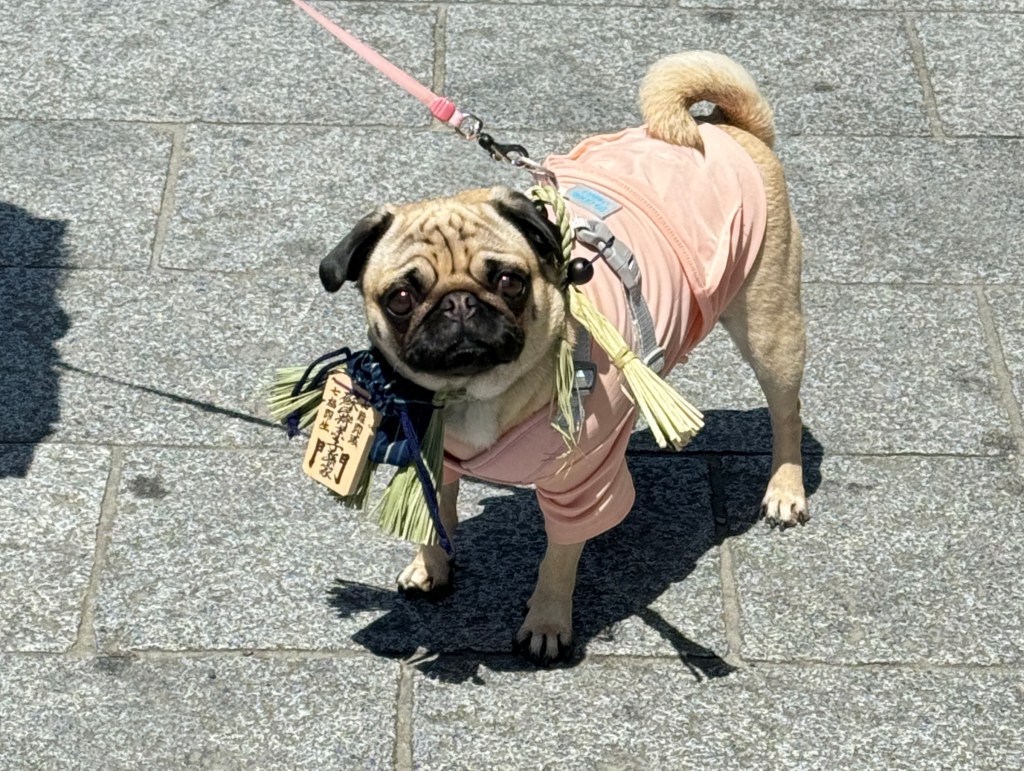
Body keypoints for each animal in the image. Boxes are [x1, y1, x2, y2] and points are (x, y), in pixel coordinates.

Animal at [318, 51, 808, 664]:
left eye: (509, 280)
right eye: (401, 297)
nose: (459, 303)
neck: (476, 394)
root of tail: (728, 129)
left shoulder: (580, 484)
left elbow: (559, 557)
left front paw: (547, 622)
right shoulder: (431, 451)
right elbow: (433, 513)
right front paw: (431, 566)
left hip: (770, 330)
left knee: (786, 413)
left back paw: (785, 490)